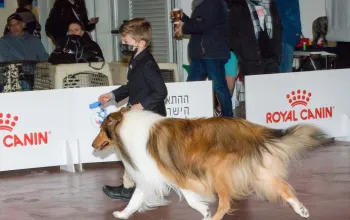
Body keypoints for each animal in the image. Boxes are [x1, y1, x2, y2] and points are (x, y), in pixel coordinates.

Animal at [92, 107, 326, 219]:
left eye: (102, 129)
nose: (92, 145)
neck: (126, 128)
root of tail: (249, 128)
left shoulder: (174, 174)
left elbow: (189, 198)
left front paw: (203, 210)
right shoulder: (148, 176)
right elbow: (135, 200)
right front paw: (122, 215)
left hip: (218, 172)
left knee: (225, 203)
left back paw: (211, 218)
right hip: (258, 171)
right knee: (284, 188)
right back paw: (301, 210)